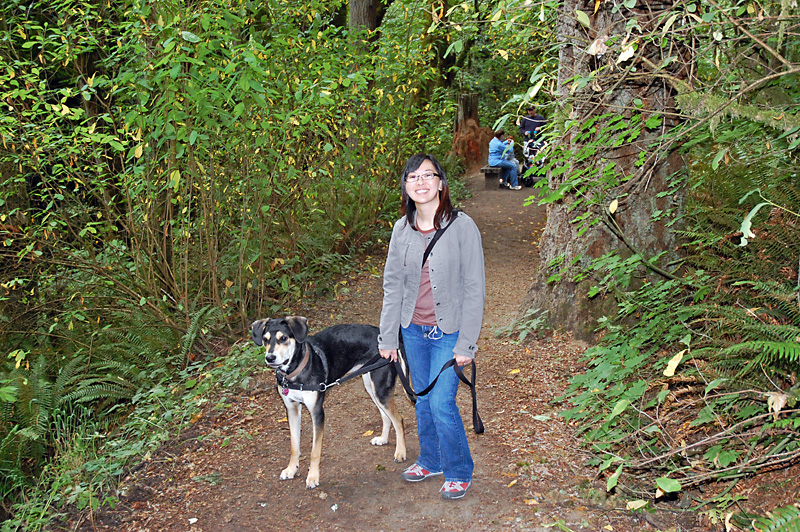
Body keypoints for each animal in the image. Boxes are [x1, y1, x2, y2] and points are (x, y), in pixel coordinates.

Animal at [250, 318, 410, 488]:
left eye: (283, 338)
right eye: (265, 339)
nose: (270, 358)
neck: (295, 372)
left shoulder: (317, 412)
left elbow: (315, 451)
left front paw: (313, 477)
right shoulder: (292, 409)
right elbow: (294, 446)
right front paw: (291, 469)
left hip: (380, 389)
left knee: (398, 419)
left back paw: (400, 452)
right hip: (371, 386)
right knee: (386, 416)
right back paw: (383, 439)